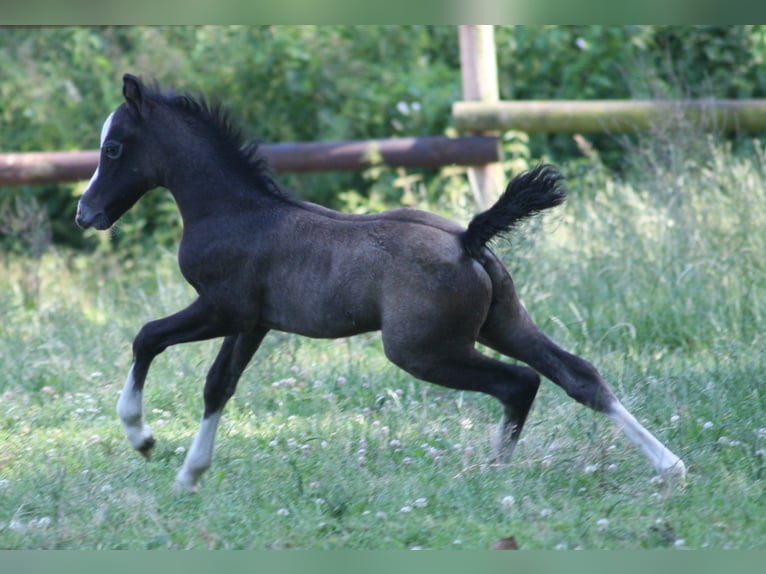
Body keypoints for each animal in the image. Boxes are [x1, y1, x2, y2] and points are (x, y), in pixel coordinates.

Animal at [78, 74, 688, 492]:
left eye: (113, 148)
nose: (86, 213)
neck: (235, 211)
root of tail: (469, 238)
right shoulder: (253, 323)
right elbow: (217, 385)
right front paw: (191, 475)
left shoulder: (222, 308)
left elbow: (147, 337)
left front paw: (142, 437)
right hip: (505, 322)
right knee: (577, 375)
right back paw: (669, 465)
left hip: (421, 349)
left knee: (519, 382)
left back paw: (496, 472)